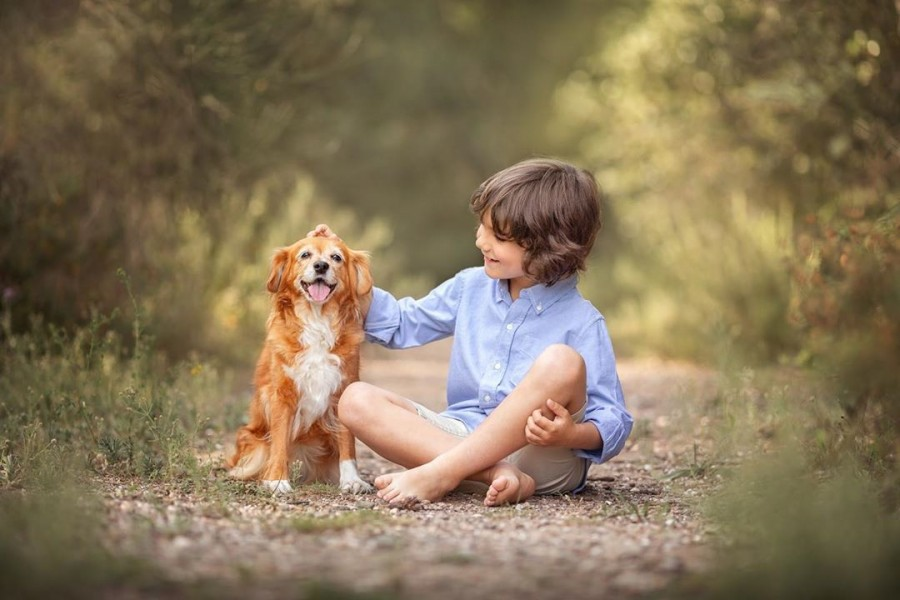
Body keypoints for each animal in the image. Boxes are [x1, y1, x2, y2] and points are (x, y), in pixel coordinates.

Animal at [229, 232, 376, 494]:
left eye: (336, 257)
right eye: (305, 255)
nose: (321, 266)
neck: (317, 320)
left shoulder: (342, 391)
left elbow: (348, 442)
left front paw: (352, 480)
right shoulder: (281, 395)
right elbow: (278, 443)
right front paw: (277, 480)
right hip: (251, 439)